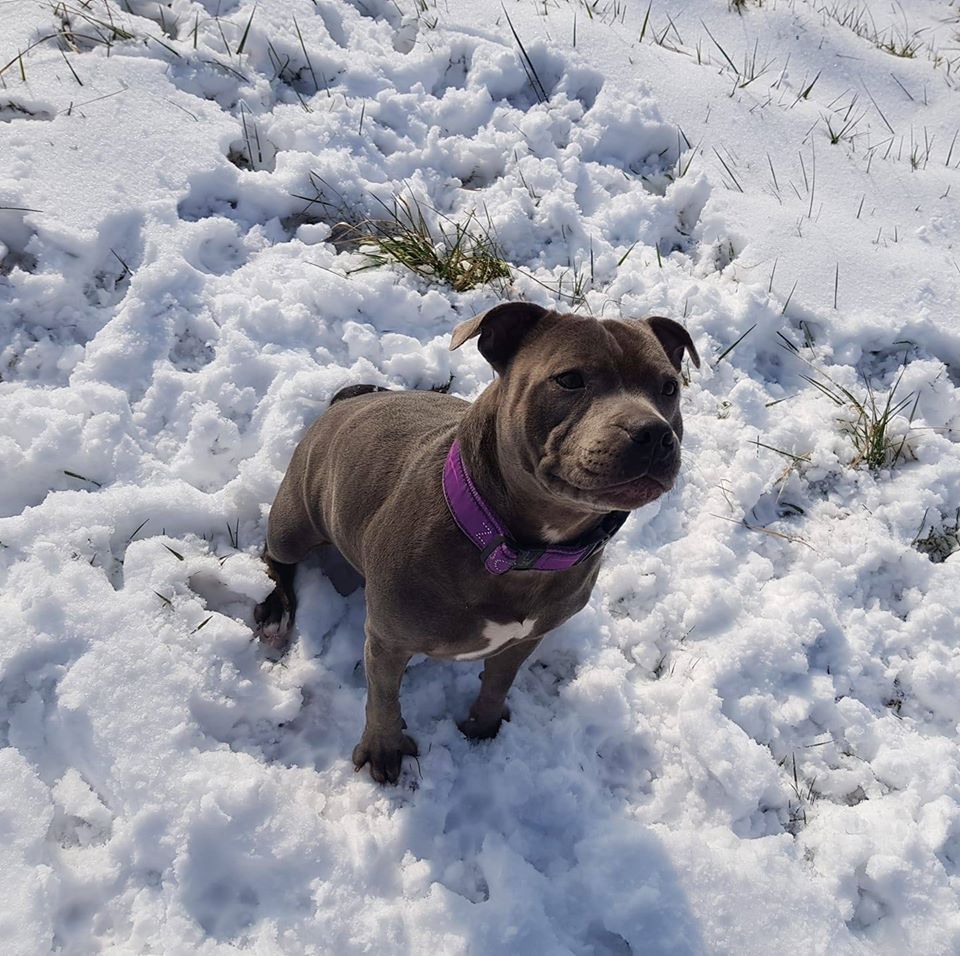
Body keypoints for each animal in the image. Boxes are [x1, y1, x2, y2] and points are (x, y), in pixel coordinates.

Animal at [254, 302, 699, 783]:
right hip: (294, 522)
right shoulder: (387, 640)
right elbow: (383, 697)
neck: (517, 549)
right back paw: (275, 612)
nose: (653, 432)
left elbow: (500, 680)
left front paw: (483, 725)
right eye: (569, 379)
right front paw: (383, 749)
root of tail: (349, 398)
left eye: (669, 387)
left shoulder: (525, 639)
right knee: (274, 555)